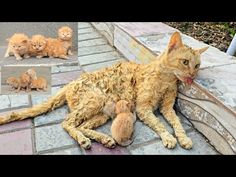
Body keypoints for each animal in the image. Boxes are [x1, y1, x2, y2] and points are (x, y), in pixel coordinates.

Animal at [0, 32, 208, 150]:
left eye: (197, 65)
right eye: (185, 62)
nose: (193, 75)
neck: (167, 80)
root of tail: (72, 81)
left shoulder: (167, 108)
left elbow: (177, 123)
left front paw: (184, 138)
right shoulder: (143, 108)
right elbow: (160, 125)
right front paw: (169, 137)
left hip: (103, 112)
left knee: (81, 125)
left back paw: (104, 139)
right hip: (95, 100)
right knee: (67, 122)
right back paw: (84, 140)